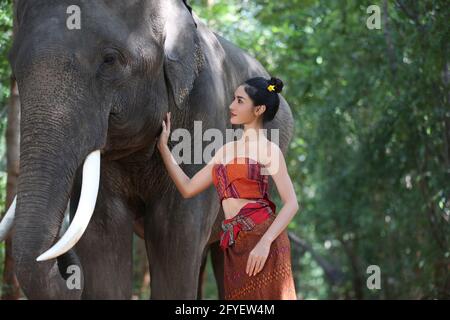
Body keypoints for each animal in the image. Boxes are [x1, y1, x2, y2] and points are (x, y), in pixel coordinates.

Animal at [0, 0, 296, 300]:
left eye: (110, 59)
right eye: (12, 64)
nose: (68, 269)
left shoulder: (206, 112)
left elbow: (176, 233)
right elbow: (101, 234)